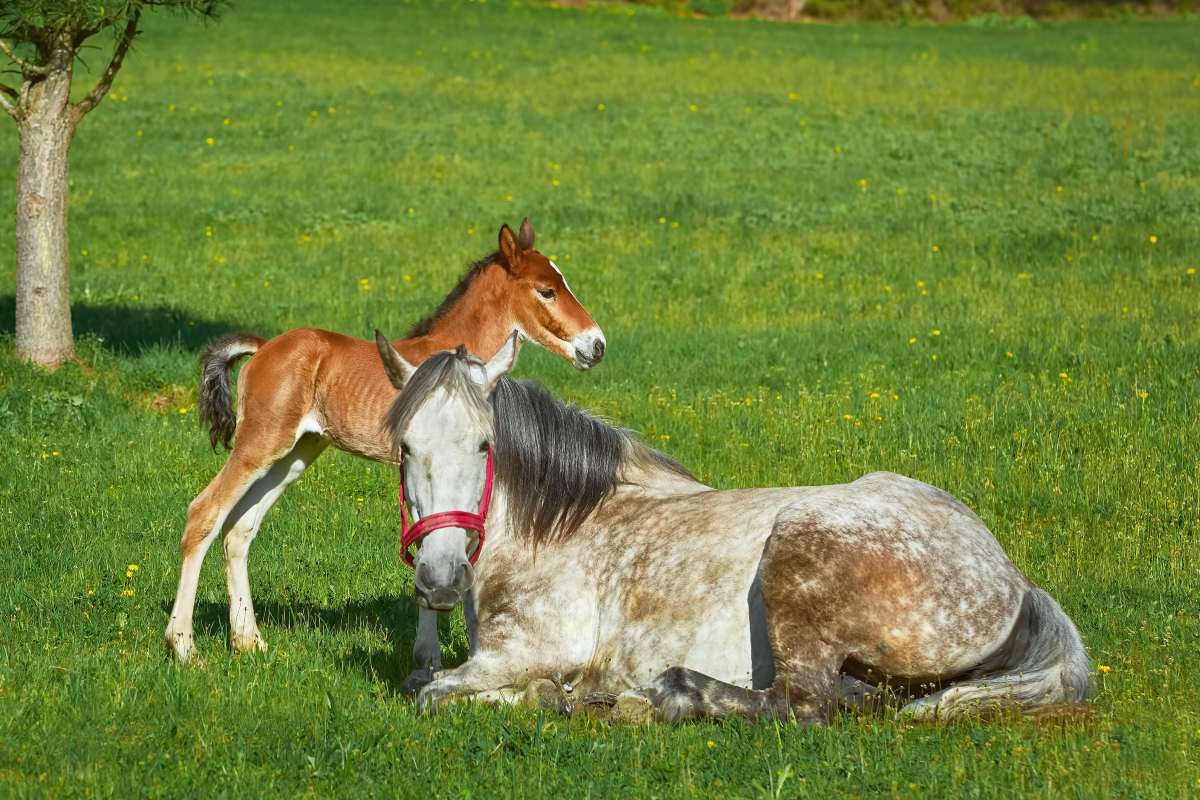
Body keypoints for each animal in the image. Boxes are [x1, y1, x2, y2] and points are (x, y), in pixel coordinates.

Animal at [164, 220, 604, 681]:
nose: (597, 345)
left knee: (240, 529)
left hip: (295, 454)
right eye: (547, 290)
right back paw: (184, 647)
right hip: (260, 444)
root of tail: (264, 345)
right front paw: (432, 659)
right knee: (204, 513)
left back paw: (249, 642)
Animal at [374, 335, 1089, 724]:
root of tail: (1015, 580)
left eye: (484, 445)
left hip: (795, 559)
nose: (440, 579)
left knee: (802, 704)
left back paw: (668, 695)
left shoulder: (522, 653)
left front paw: (563, 696)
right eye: (405, 448)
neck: (558, 527)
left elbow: (435, 693)